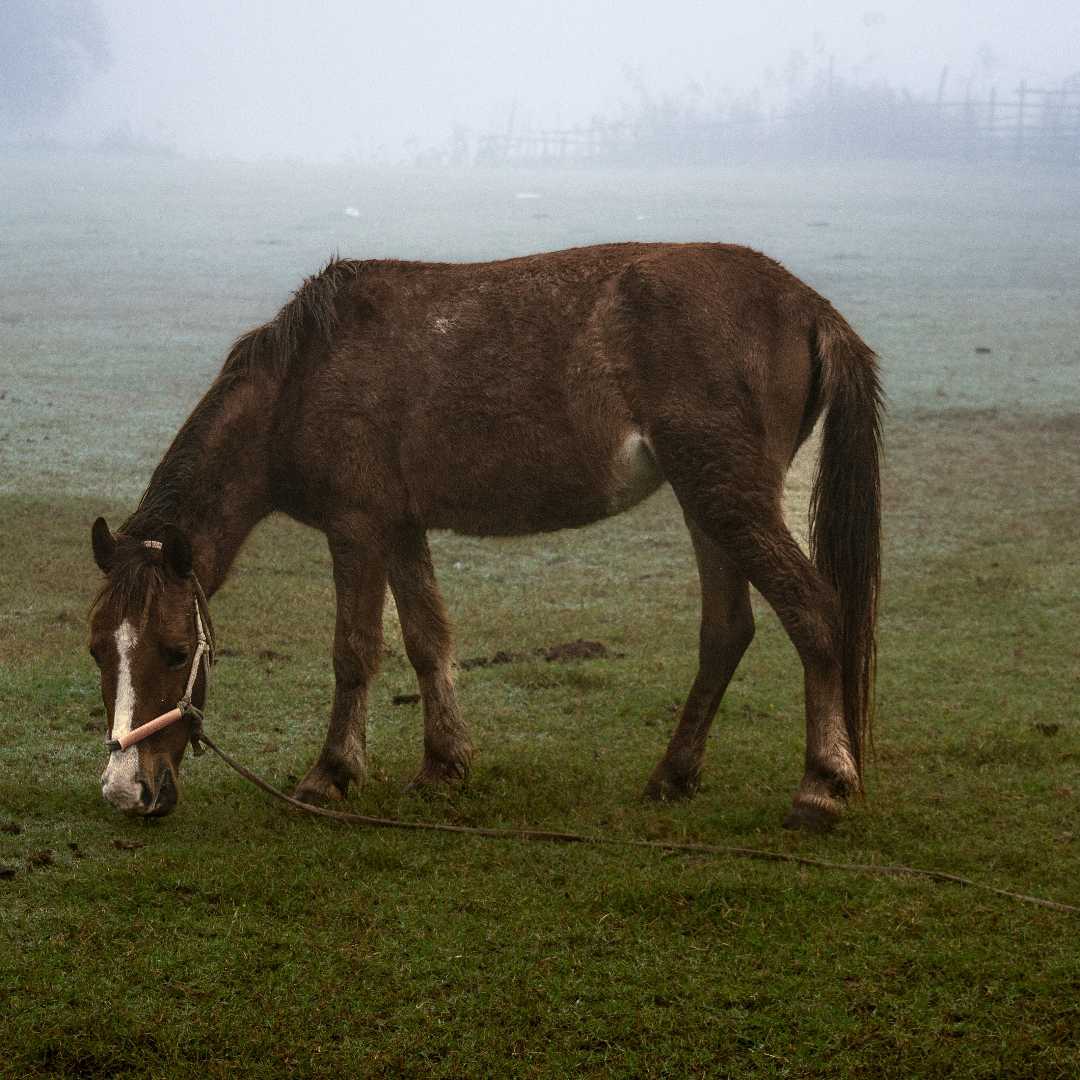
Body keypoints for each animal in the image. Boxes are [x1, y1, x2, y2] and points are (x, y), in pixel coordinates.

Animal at [88, 243, 882, 830]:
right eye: (99, 650)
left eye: (176, 651)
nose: (128, 790)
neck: (300, 381)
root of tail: (805, 303)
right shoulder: (401, 527)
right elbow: (426, 641)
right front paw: (444, 764)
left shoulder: (357, 529)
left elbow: (355, 651)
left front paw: (330, 775)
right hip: (706, 501)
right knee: (727, 630)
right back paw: (673, 775)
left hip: (729, 499)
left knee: (815, 611)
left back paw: (821, 785)